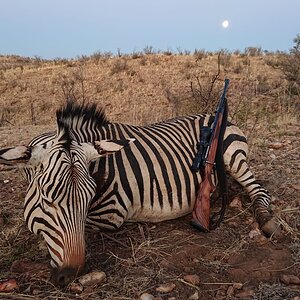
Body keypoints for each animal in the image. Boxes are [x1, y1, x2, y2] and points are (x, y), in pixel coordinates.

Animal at [0, 101, 278, 286]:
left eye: (88, 199)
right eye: (47, 200)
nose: (70, 275)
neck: (101, 166)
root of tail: (214, 114)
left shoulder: (112, 212)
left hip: (234, 156)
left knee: (259, 190)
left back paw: (267, 221)